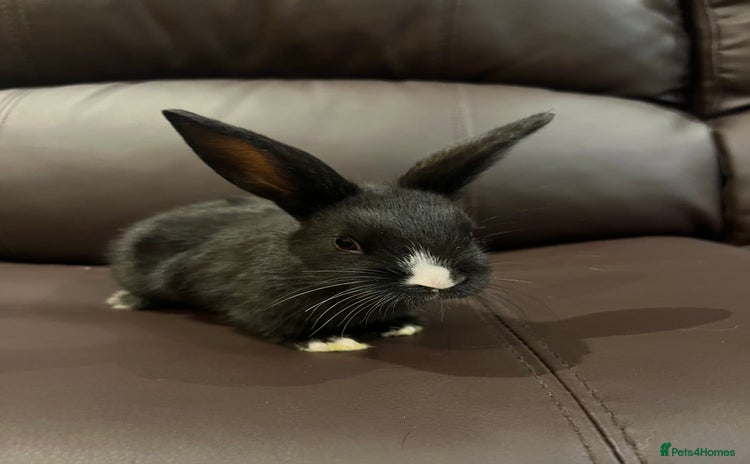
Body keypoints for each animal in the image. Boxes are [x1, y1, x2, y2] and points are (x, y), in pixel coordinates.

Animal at [107, 109, 554, 352]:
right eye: (345, 243)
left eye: (469, 232)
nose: (437, 282)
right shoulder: (256, 306)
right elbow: (278, 330)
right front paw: (330, 341)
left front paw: (400, 325)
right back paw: (124, 300)